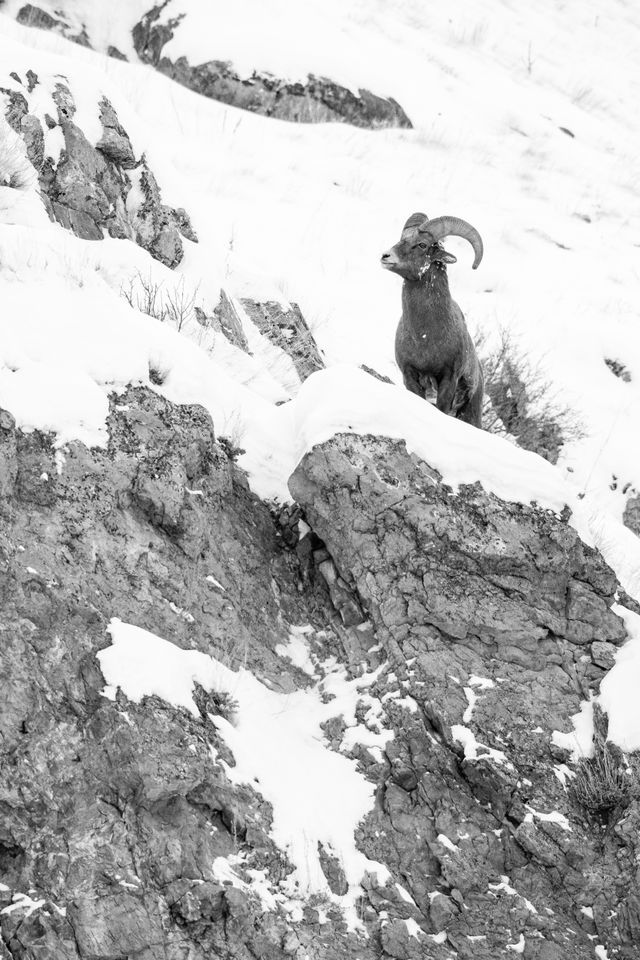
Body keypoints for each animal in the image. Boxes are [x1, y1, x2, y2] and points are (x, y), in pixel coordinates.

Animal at [380, 218, 484, 432]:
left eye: (422, 245)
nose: (386, 256)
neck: (424, 337)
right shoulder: (409, 376)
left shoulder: (448, 380)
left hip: (470, 413)